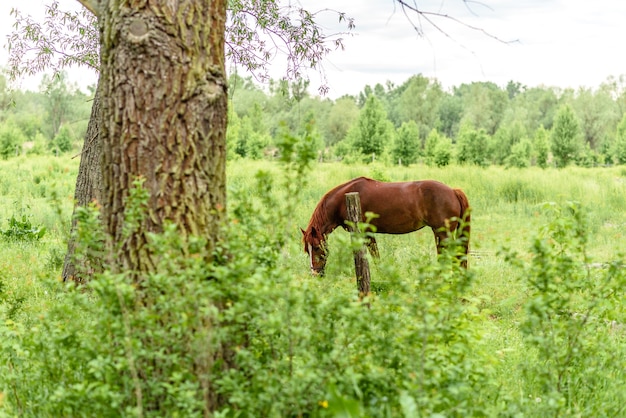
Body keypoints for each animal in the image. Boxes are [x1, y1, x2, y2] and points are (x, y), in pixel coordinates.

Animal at [302, 176, 468, 274]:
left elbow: (374, 255)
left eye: (316, 247)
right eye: (307, 250)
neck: (342, 200)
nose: (315, 274)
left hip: (443, 233)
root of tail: (453, 191)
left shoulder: (364, 232)